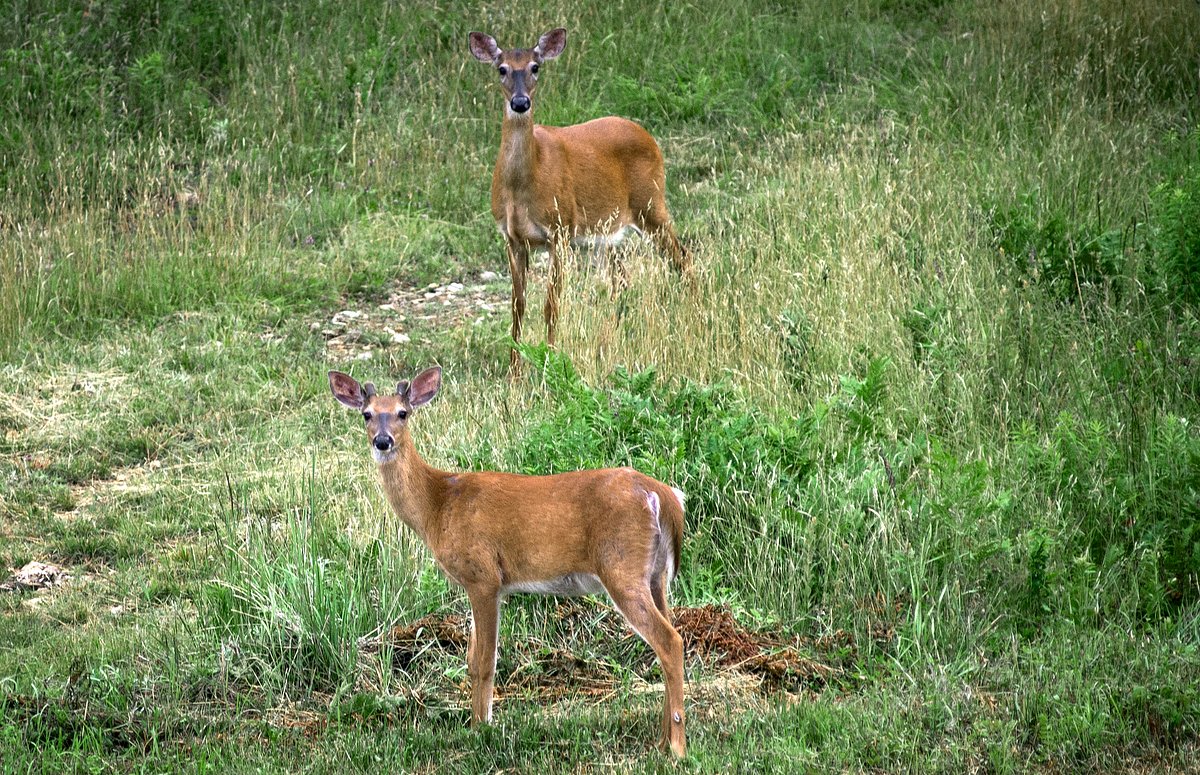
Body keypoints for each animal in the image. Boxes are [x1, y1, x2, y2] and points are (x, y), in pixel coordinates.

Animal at [328, 366, 688, 758]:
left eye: (402, 413)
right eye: (367, 414)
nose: (383, 441)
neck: (438, 504)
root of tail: (665, 496)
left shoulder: (483, 576)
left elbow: (484, 660)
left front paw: (480, 728)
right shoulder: (487, 586)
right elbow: (473, 658)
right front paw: (480, 722)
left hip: (621, 566)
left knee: (670, 641)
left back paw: (676, 748)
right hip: (657, 575)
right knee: (669, 637)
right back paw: (661, 739)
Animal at [468, 28, 693, 370]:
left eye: (535, 67)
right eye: (502, 69)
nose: (520, 102)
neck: (523, 188)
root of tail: (649, 137)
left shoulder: (559, 229)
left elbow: (551, 304)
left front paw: (549, 361)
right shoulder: (511, 237)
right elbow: (517, 305)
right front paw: (513, 371)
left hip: (652, 204)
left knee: (683, 258)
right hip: (607, 231)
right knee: (622, 280)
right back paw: (607, 342)